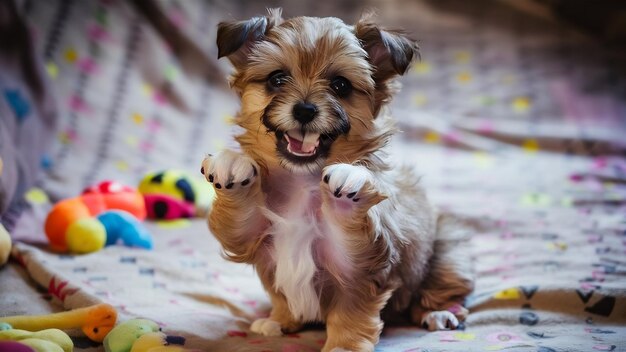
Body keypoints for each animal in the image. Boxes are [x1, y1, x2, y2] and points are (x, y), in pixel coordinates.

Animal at [202, 8, 470, 352]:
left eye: (341, 85)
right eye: (277, 79)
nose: (304, 110)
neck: (302, 183)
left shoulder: (360, 263)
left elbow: (349, 312)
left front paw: (343, 345)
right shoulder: (252, 238)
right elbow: (241, 224)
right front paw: (232, 163)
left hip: (447, 251)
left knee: (441, 288)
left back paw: (437, 313)